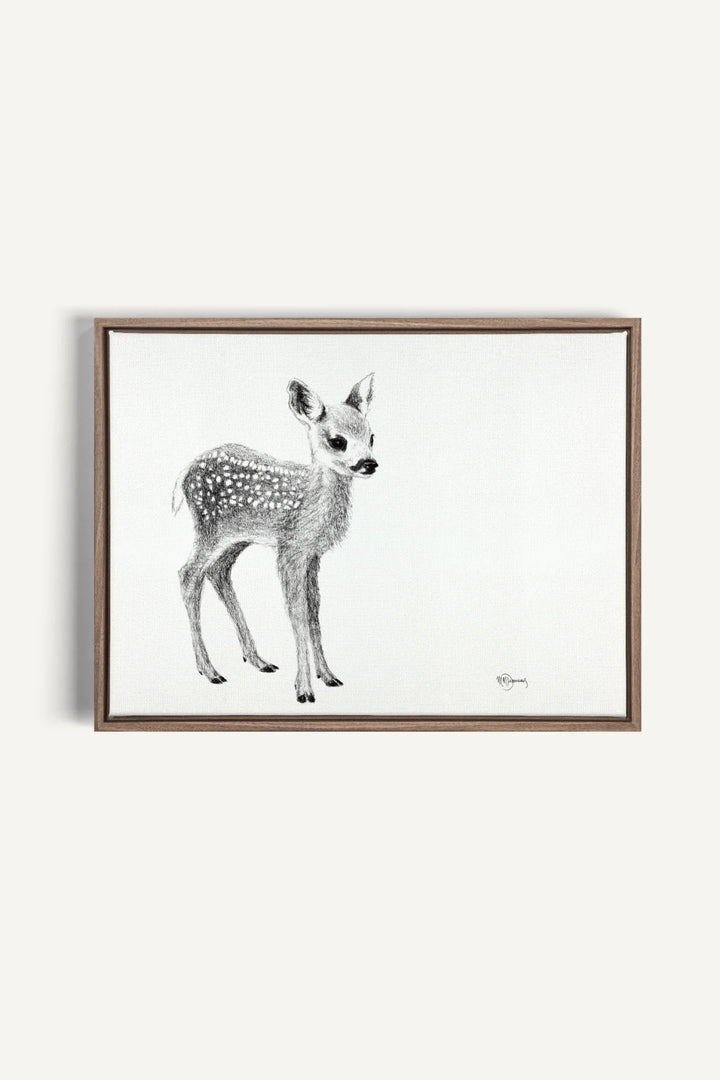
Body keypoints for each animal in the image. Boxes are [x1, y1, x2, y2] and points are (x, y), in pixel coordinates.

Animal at [172, 374, 377, 704]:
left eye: (372, 437)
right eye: (338, 441)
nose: (369, 464)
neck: (313, 500)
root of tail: (184, 473)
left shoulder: (312, 553)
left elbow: (314, 608)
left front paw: (328, 676)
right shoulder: (290, 549)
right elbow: (296, 612)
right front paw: (304, 689)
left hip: (236, 537)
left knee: (218, 572)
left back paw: (257, 660)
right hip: (208, 528)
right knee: (188, 574)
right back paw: (210, 670)